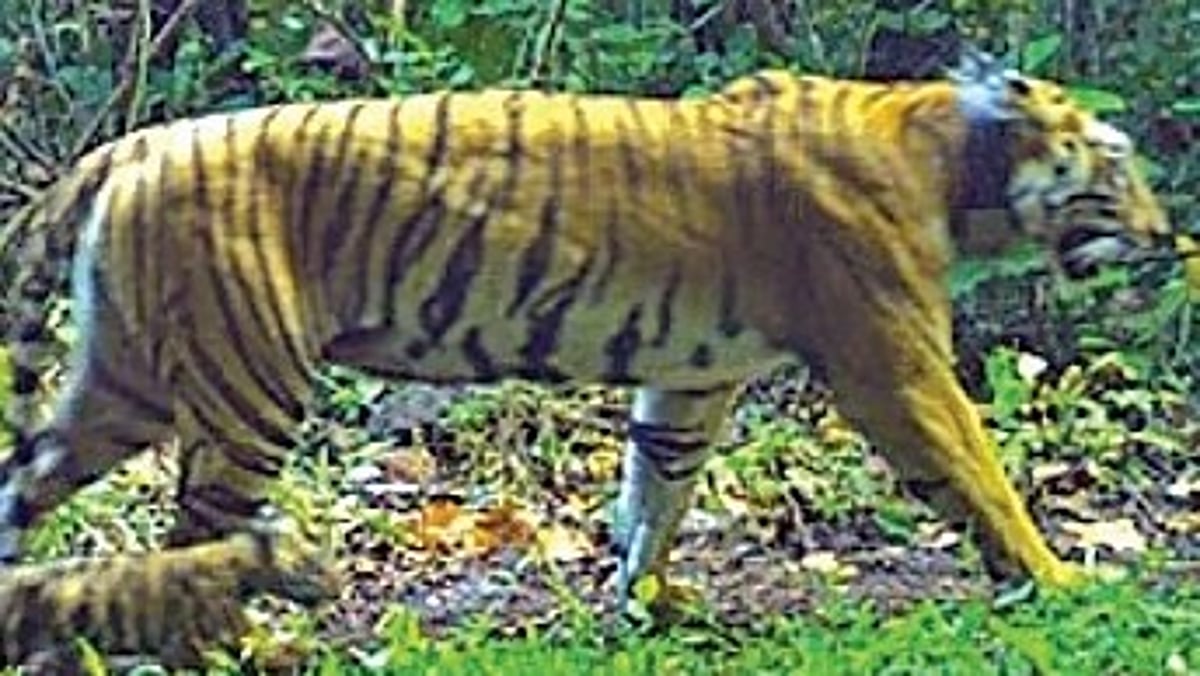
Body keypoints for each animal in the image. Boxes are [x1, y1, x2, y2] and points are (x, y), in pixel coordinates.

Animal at [0, 48, 1176, 621]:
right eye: (1116, 163)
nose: (1170, 236)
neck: (950, 164)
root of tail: (130, 148)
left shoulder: (695, 377)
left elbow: (657, 493)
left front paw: (651, 604)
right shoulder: (895, 362)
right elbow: (983, 476)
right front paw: (1064, 583)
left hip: (127, 380)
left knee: (28, 483)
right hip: (246, 388)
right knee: (192, 535)